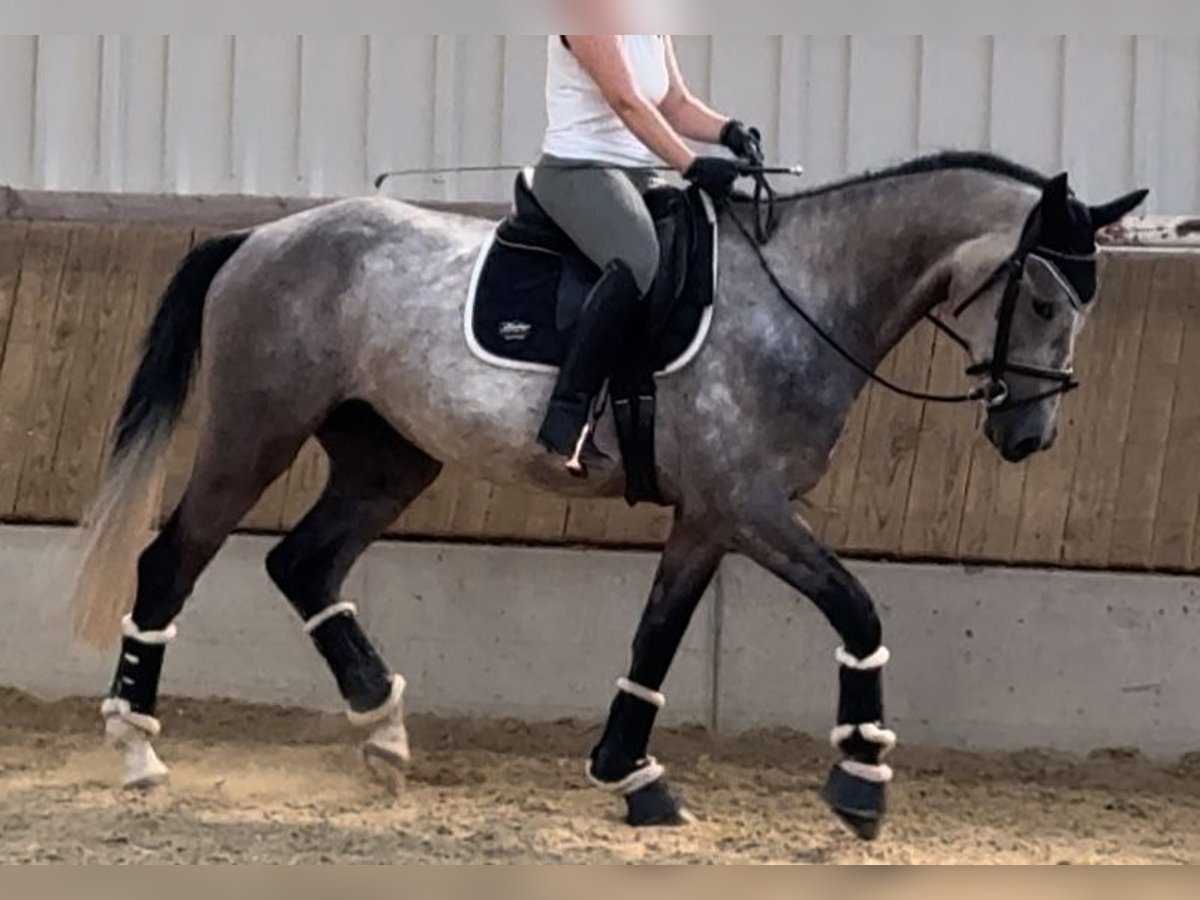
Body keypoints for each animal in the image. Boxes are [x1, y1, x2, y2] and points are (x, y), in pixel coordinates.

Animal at [72, 151, 1142, 844]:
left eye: (1084, 308)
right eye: (1041, 299)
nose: (1029, 437)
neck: (801, 296)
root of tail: (262, 236)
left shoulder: (711, 517)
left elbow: (655, 638)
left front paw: (634, 777)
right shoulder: (750, 506)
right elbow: (859, 609)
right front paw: (861, 780)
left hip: (389, 457)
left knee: (306, 561)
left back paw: (382, 730)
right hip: (254, 434)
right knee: (172, 561)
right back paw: (137, 748)